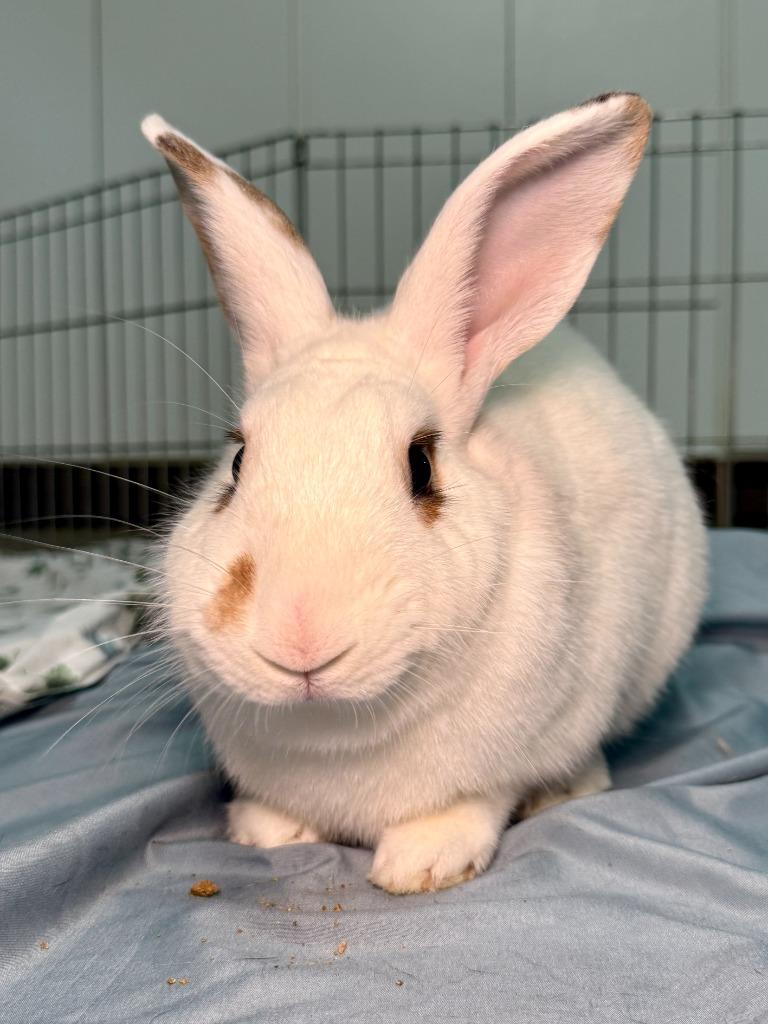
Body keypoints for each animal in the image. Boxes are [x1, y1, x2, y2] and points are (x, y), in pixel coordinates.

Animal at [142, 92, 707, 895]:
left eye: (421, 466)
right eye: (238, 462)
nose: (300, 639)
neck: (338, 736)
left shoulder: (513, 753)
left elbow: (478, 802)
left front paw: (422, 863)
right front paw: (264, 830)